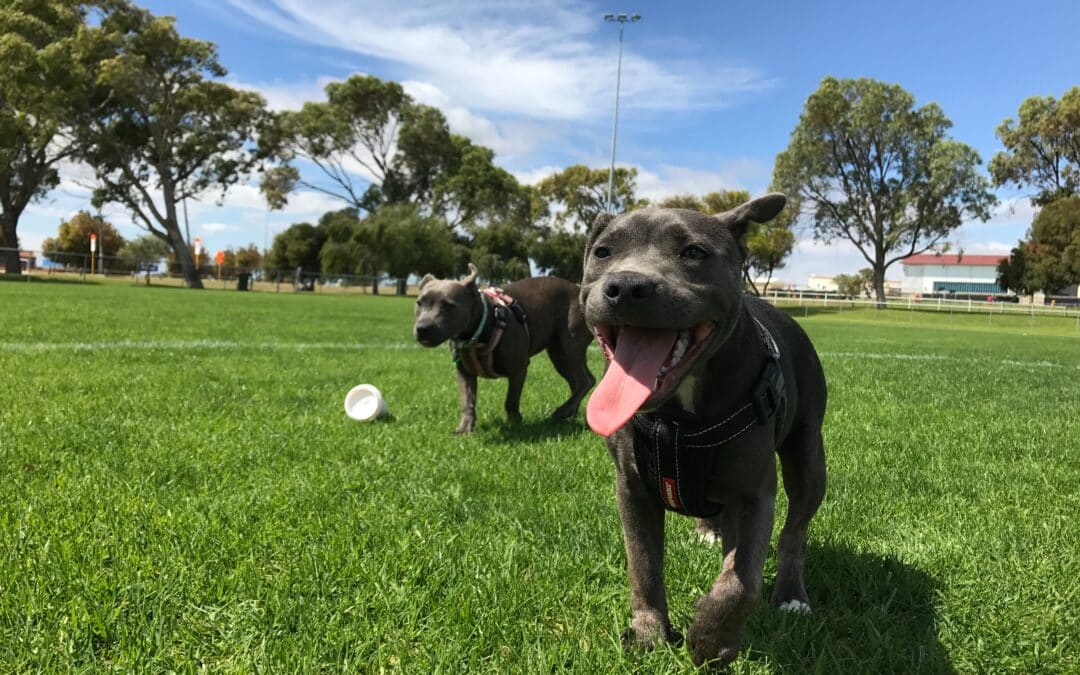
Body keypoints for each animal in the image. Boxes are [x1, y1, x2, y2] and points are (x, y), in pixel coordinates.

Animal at [414, 263, 600, 432]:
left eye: (448, 305)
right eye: (419, 303)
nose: (422, 328)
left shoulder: (519, 368)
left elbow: (511, 400)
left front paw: (515, 423)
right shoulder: (464, 372)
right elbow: (467, 401)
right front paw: (466, 428)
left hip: (568, 348)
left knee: (586, 381)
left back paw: (562, 411)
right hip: (559, 355)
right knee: (577, 382)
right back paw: (569, 413)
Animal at [583, 193, 825, 665]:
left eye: (693, 252)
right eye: (603, 252)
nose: (626, 286)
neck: (679, 418)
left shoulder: (754, 494)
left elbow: (740, 583)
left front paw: (711, 639)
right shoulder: (632, 489)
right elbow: (642, 565)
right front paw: (650, 632)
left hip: (809, 458)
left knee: (795, 532)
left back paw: (791, 594)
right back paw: (708, 531)